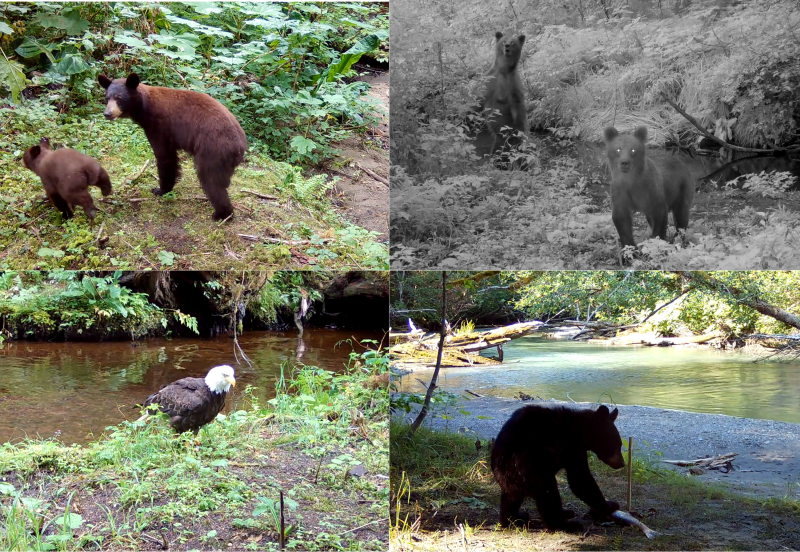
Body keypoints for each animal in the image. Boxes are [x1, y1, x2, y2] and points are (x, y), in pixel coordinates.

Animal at [98, 73, 247, 221]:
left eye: (119, 98)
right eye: (107, 98)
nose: (107, 113)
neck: (144, 106)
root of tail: (240, 145)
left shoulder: (159, 125)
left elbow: (165, 156)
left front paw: (161, 190)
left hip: (213, 150)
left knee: (211, 180)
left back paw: (222, 214)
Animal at [474, 32, 527, 162]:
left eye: (513, 42)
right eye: (503, 41)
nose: (507, 46)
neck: (504, 70)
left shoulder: (513, 88)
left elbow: (517, 108)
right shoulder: (489, 81)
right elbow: (478, 101)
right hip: (499, 141)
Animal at [491, 403, 625, 532]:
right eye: (617, 444)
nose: (622, 463)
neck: (580, 429)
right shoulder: (572, 447)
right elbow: (581, 479)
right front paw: (609, 505)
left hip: (511, 479)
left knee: (510, 499)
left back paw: (514, 519)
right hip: (534, 465)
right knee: (549, 496)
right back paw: (566, 525)